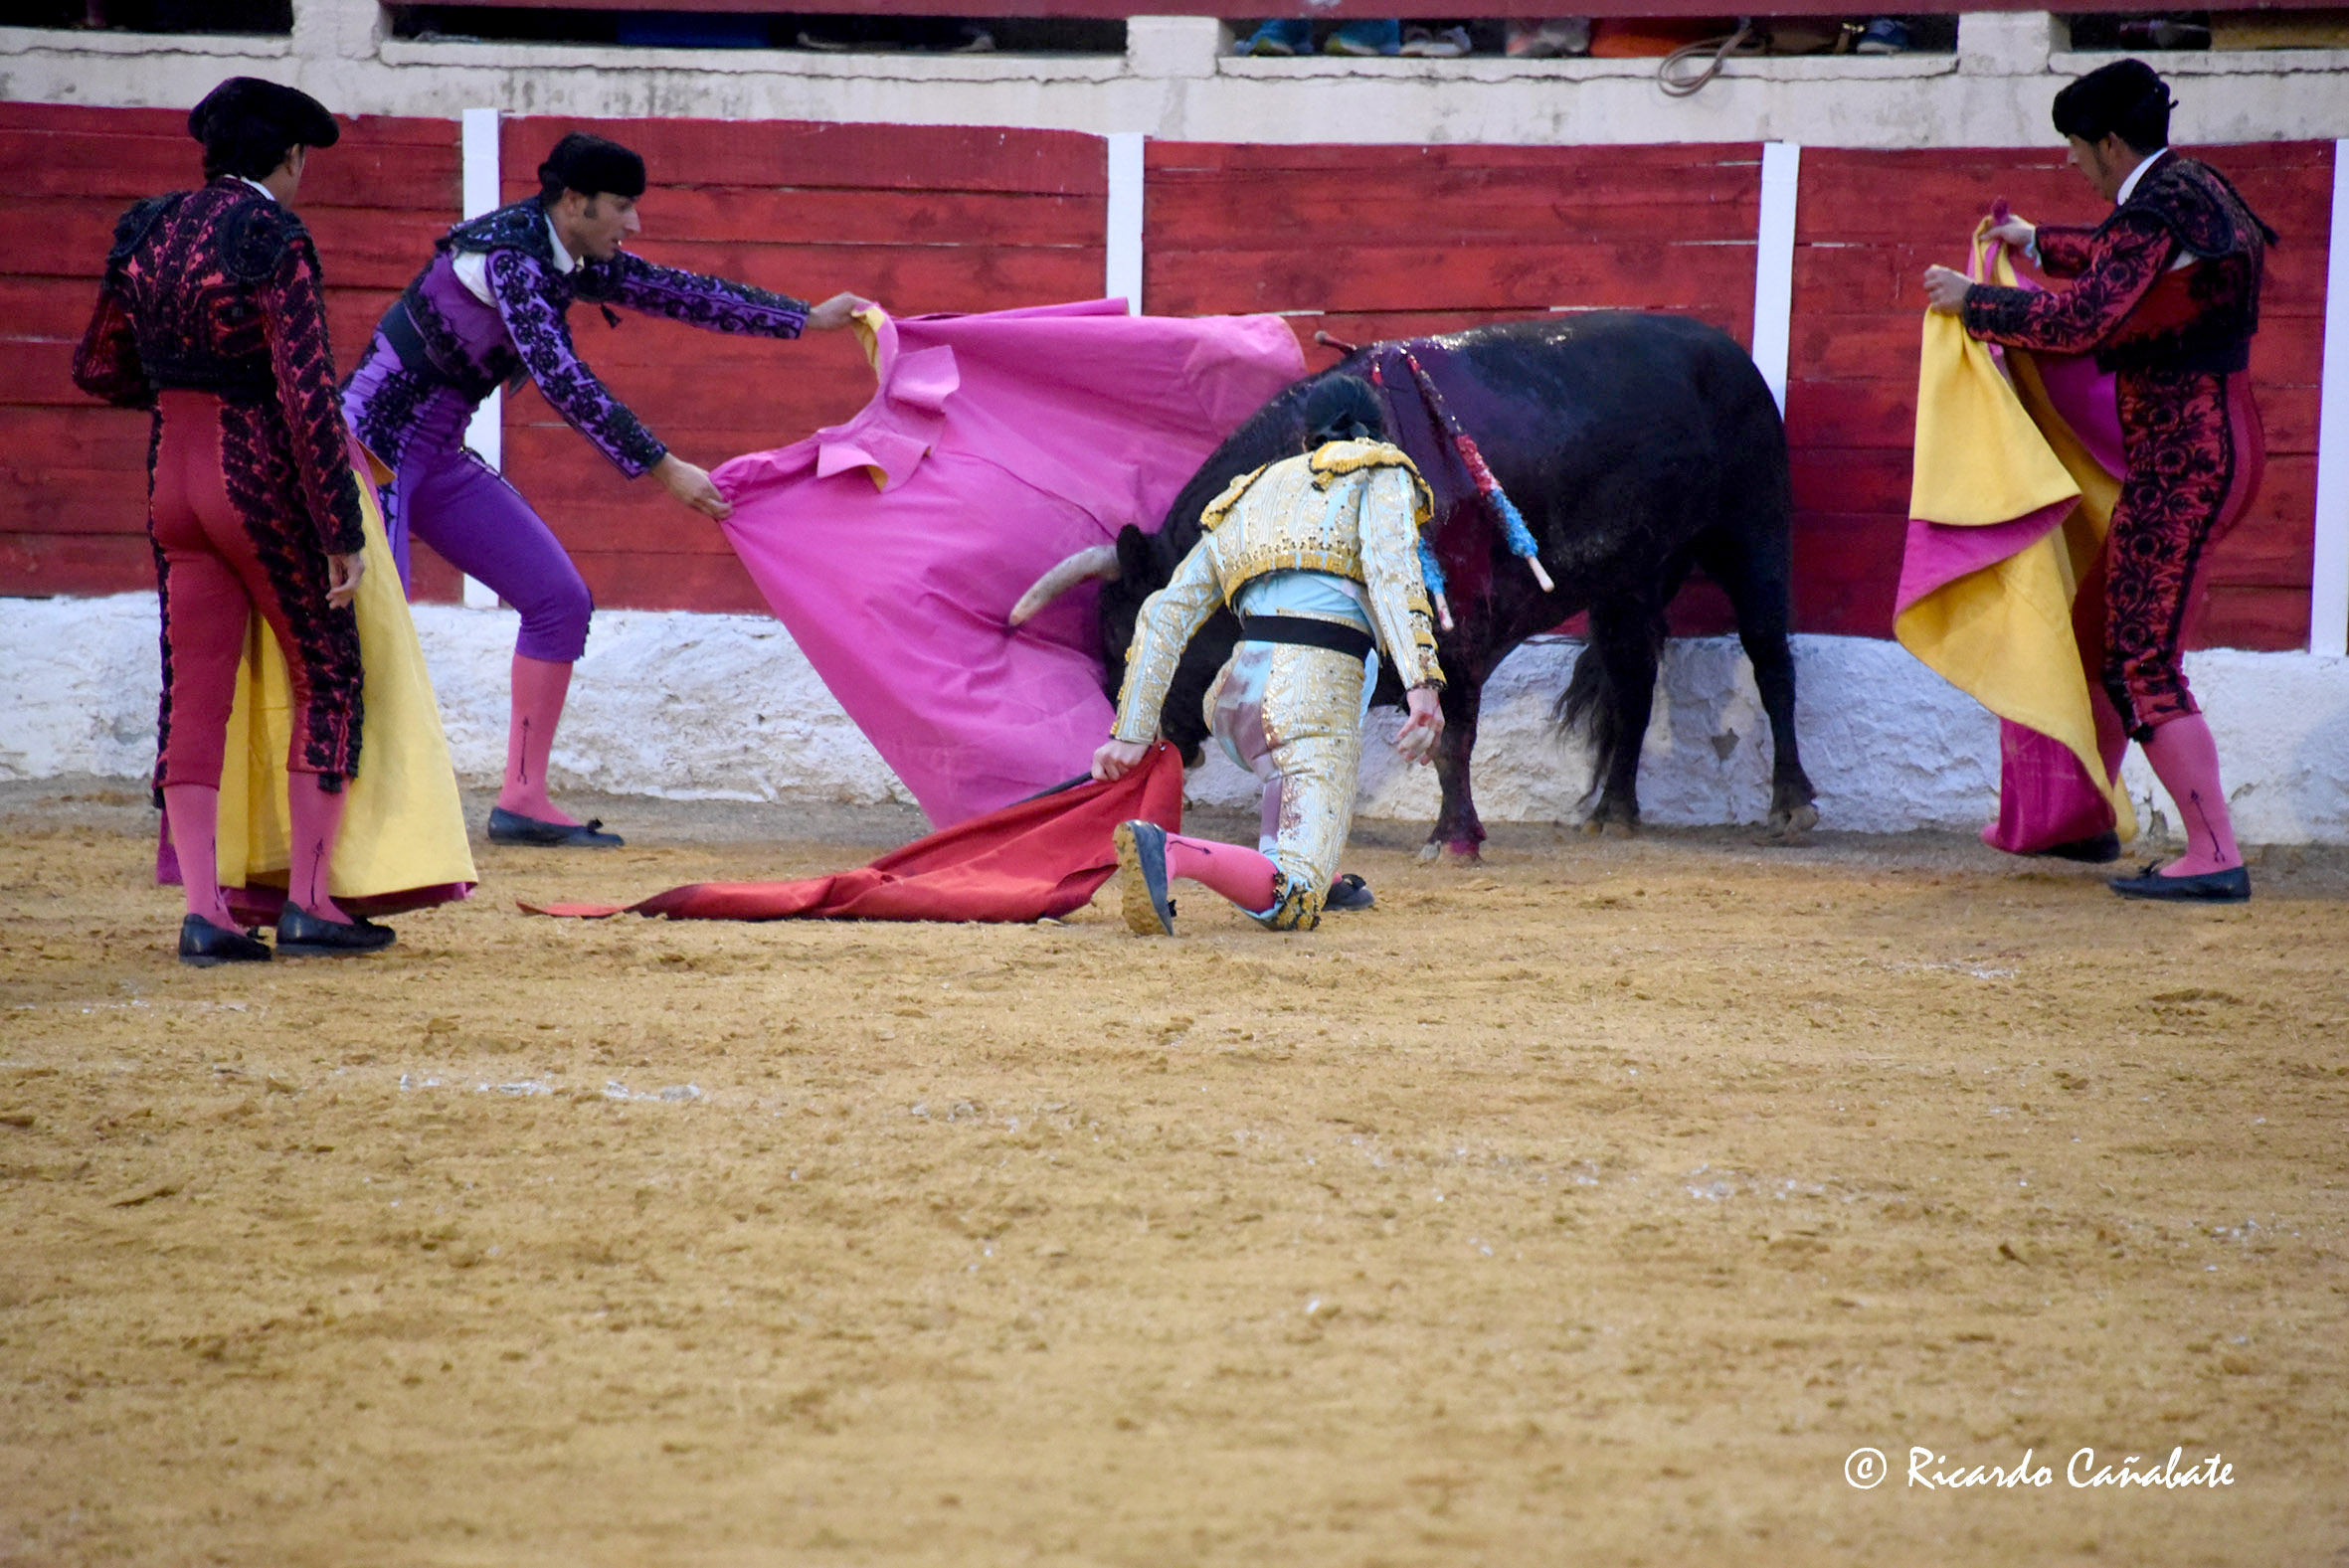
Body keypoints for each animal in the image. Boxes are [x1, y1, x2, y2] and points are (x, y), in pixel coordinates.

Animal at [1014, 313, 1818, 858]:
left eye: (1121, 638)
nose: (1146, 742)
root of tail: (1727, 349)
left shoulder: (1456, 635)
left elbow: (1452, 737)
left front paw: (1453, 837)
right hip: (1633, 577)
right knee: (1632, 678)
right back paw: (1614, 811)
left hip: (1754, 529)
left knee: (1770, 658)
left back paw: (1792, 805)